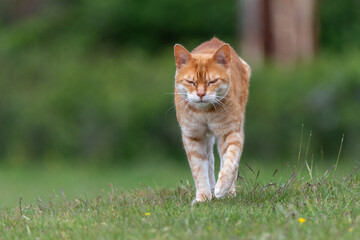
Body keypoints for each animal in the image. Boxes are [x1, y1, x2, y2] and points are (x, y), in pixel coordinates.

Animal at [174, 37, 250, 202]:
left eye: (212, 81)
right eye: (191, 82)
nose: (201, 94)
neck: (205, 112)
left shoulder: (229, 132)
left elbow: (230, 161)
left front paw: (223, 188)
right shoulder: (193, 137)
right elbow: (199, 169)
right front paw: (203, 197)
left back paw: (227, 192)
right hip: (207, 140)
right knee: (209, 161)